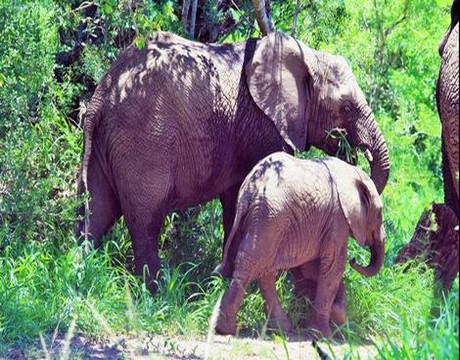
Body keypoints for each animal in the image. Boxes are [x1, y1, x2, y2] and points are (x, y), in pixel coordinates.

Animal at [76, 29, 388, 292]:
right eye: (345, 108)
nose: (357, 153)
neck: (308, 56)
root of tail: (100, 97)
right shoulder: (264, 126)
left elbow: (235, 200)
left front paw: (223, 280)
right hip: (144, 141)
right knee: (146, 221)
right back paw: (155, 291)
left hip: (106, 143)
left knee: (96, 210)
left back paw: (82, 271)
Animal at [215, 153, 384, 338]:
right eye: (379, 214)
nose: (355, 260)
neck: (351, 173)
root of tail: (250, 190)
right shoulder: (337, 218)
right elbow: (334, 266)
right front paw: (323, 334)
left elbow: (312, 269)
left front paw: (335, 318)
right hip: (271, 217)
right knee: (252, 263)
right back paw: (228, 329)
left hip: (263, 218)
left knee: (261, 267)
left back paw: (278, 328)